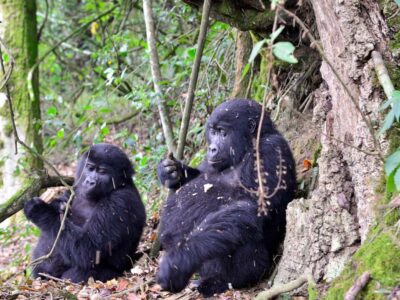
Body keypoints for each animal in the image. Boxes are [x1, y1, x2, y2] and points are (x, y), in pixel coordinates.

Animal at [23, 144, 145, 282]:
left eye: (102, 172)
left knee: (76, 274)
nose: (90, 181)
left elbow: (88, 249)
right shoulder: (75, 187)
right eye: (90, 168)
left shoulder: (120, 200)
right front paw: (58, 204)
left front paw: (39, 210)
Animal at [157, 98, 296, 296]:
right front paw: (170, 171)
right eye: (213, 132)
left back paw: (219, 281)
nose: (211, 148)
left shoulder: (271, 149)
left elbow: (249, 207)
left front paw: (178, 261)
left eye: (223, 133)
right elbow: (196, 178)